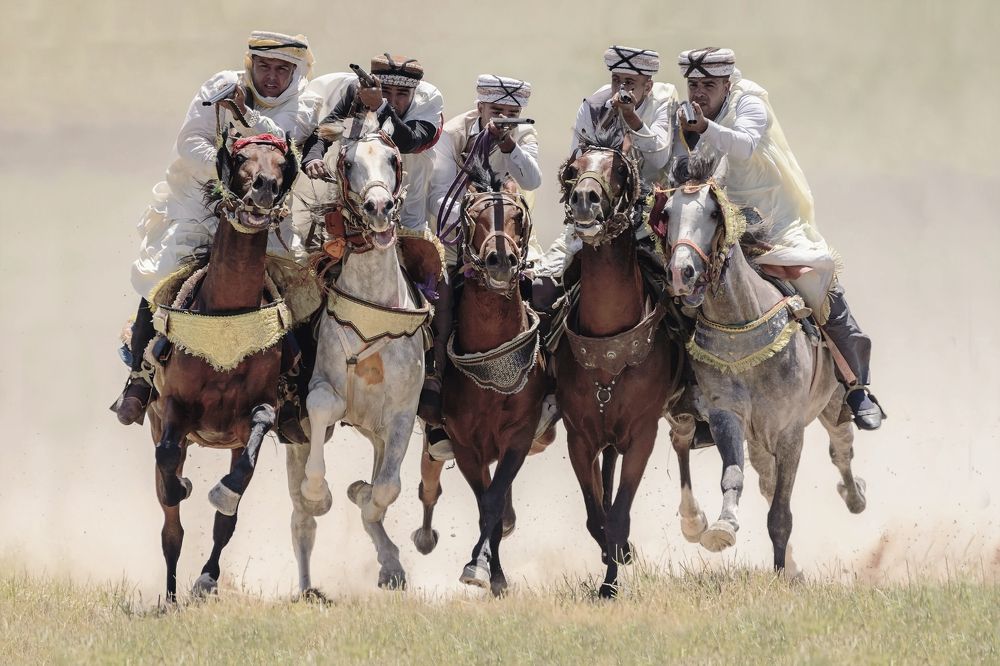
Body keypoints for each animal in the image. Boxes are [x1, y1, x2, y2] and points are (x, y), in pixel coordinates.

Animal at [146, 132, 299, 600]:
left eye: (281, 162)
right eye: (242, 157)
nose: (265, 186)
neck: (227, 315)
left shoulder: (255, 413)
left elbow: (237, 484)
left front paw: (223, 495)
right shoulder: (173, 408)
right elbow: (168, 464)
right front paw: (182, 485)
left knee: (221, 526)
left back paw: (205, 579)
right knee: (170, 529)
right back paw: (171, 595)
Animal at [285, 113, 431, 594]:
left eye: (392, 158)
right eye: (347, 164)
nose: (379, 208)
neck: (373, 309)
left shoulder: (401, 415)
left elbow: (385, 490)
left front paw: (362, 494)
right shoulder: (320, 392)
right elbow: (322, 404)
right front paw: (322, 493)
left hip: (378, 433)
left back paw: (389, 562)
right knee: (301, 521)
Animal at [552, 130, 683, 598]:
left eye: (621, 171)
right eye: (573, 170)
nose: (584, 199)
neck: (610, 351)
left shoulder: (642, 436)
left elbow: (620, 512)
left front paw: (618, 567)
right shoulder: (579, 439)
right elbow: (598, 517)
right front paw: (612, 569)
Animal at [662, 154, 867, 575]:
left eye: (713, 212)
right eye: (667, 211)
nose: (680, 272)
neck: (743, 327)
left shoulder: (790, 431)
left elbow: (781, 515)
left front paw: (781, 571)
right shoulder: (728, 417)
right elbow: (734, 477)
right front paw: (723, 527)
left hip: (834, 403)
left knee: (842, 448)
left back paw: (855, 495)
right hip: (759, 437)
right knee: (765, 478)